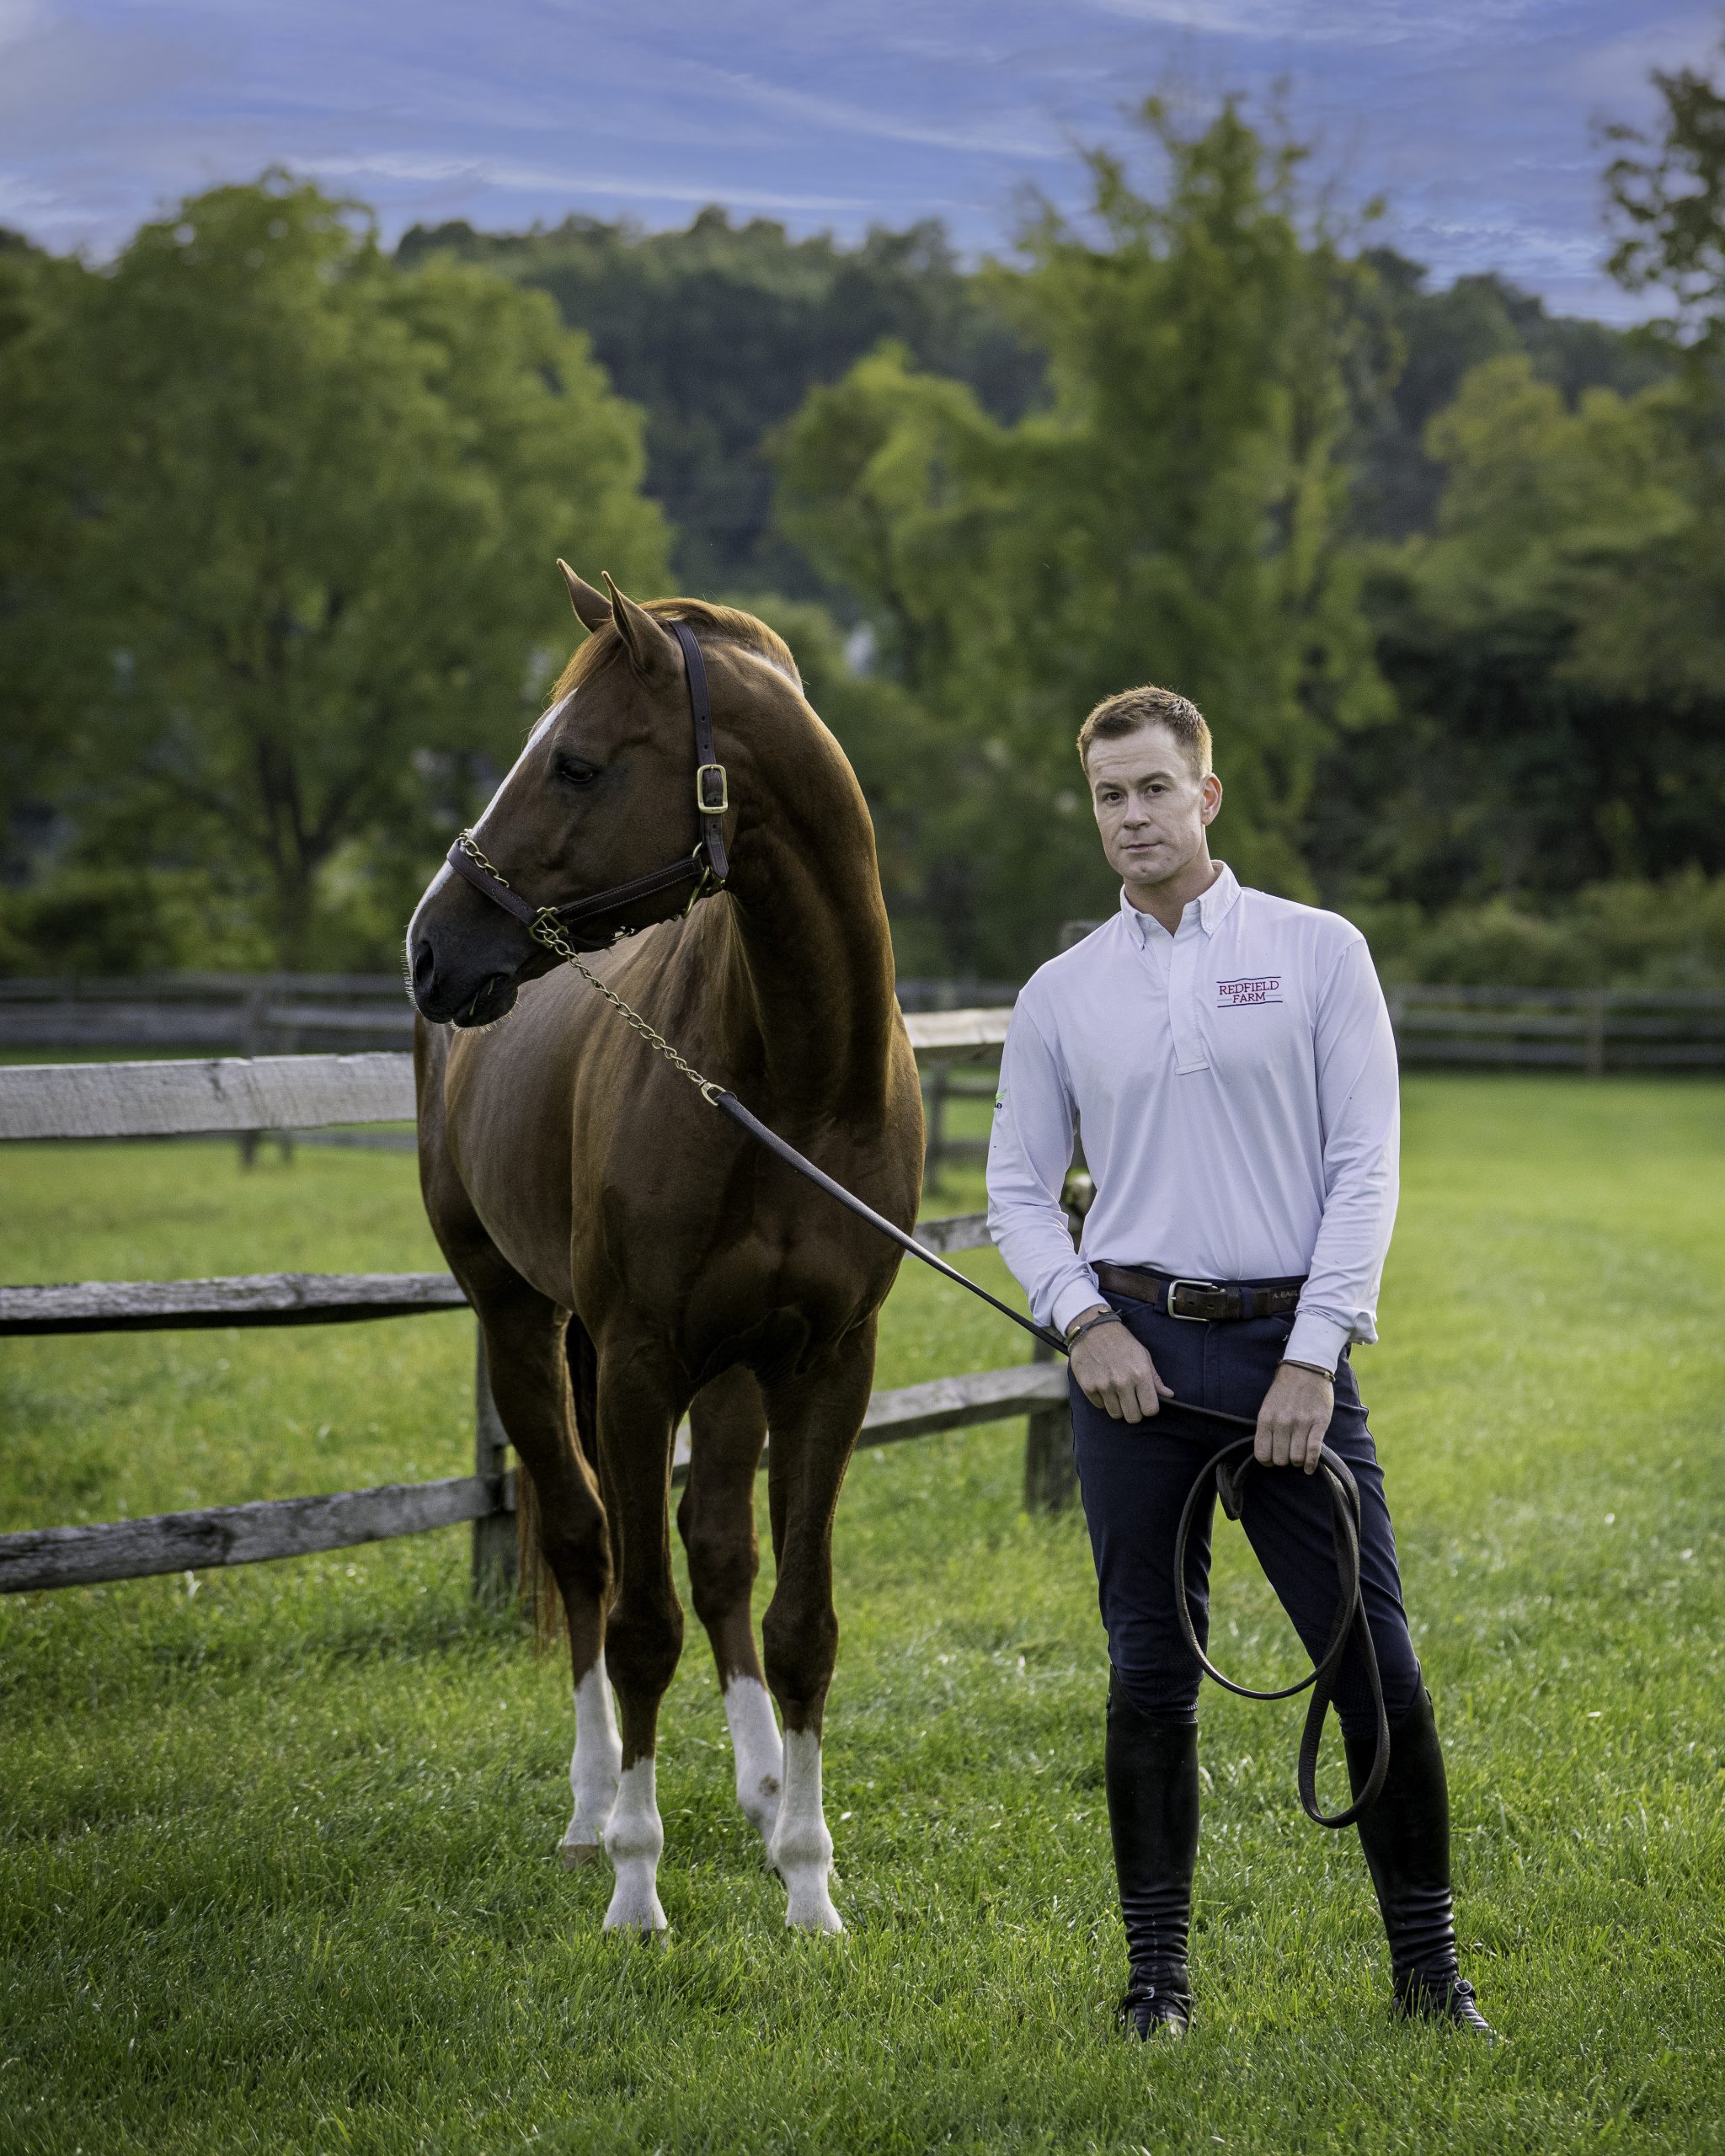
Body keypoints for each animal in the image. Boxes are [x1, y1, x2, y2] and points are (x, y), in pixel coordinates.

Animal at [405, 564, 922, 1931]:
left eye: (577, 764)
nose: (430, 946)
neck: (791, 1083)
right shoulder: (637, 1364)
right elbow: (638, 1623)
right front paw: (637, 1893)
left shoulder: (825, 1365)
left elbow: (798, 1622)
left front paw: (810, 1885)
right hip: (521, 1320)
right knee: (587, 1552)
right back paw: (594, 1815)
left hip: (729, 1366)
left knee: (720, 1555)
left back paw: (759, 1794)